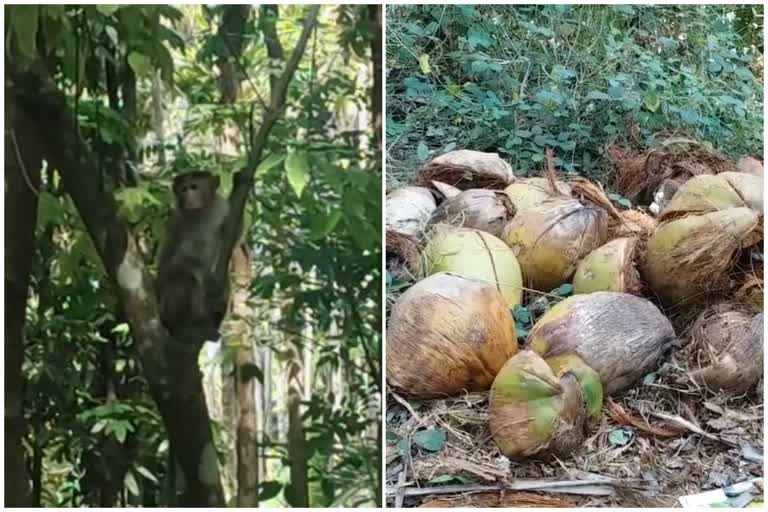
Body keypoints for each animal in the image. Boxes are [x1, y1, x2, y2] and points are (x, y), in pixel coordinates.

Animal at [154, 171, 231, 344]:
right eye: (184, 189)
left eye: (194, 187)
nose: (188, 196)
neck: (201, 213)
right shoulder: (176, 221)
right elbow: (168, 266)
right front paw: (202, 273)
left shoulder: (223, 208)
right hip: (165, 310)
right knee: (182, 279)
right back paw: (183, 329)